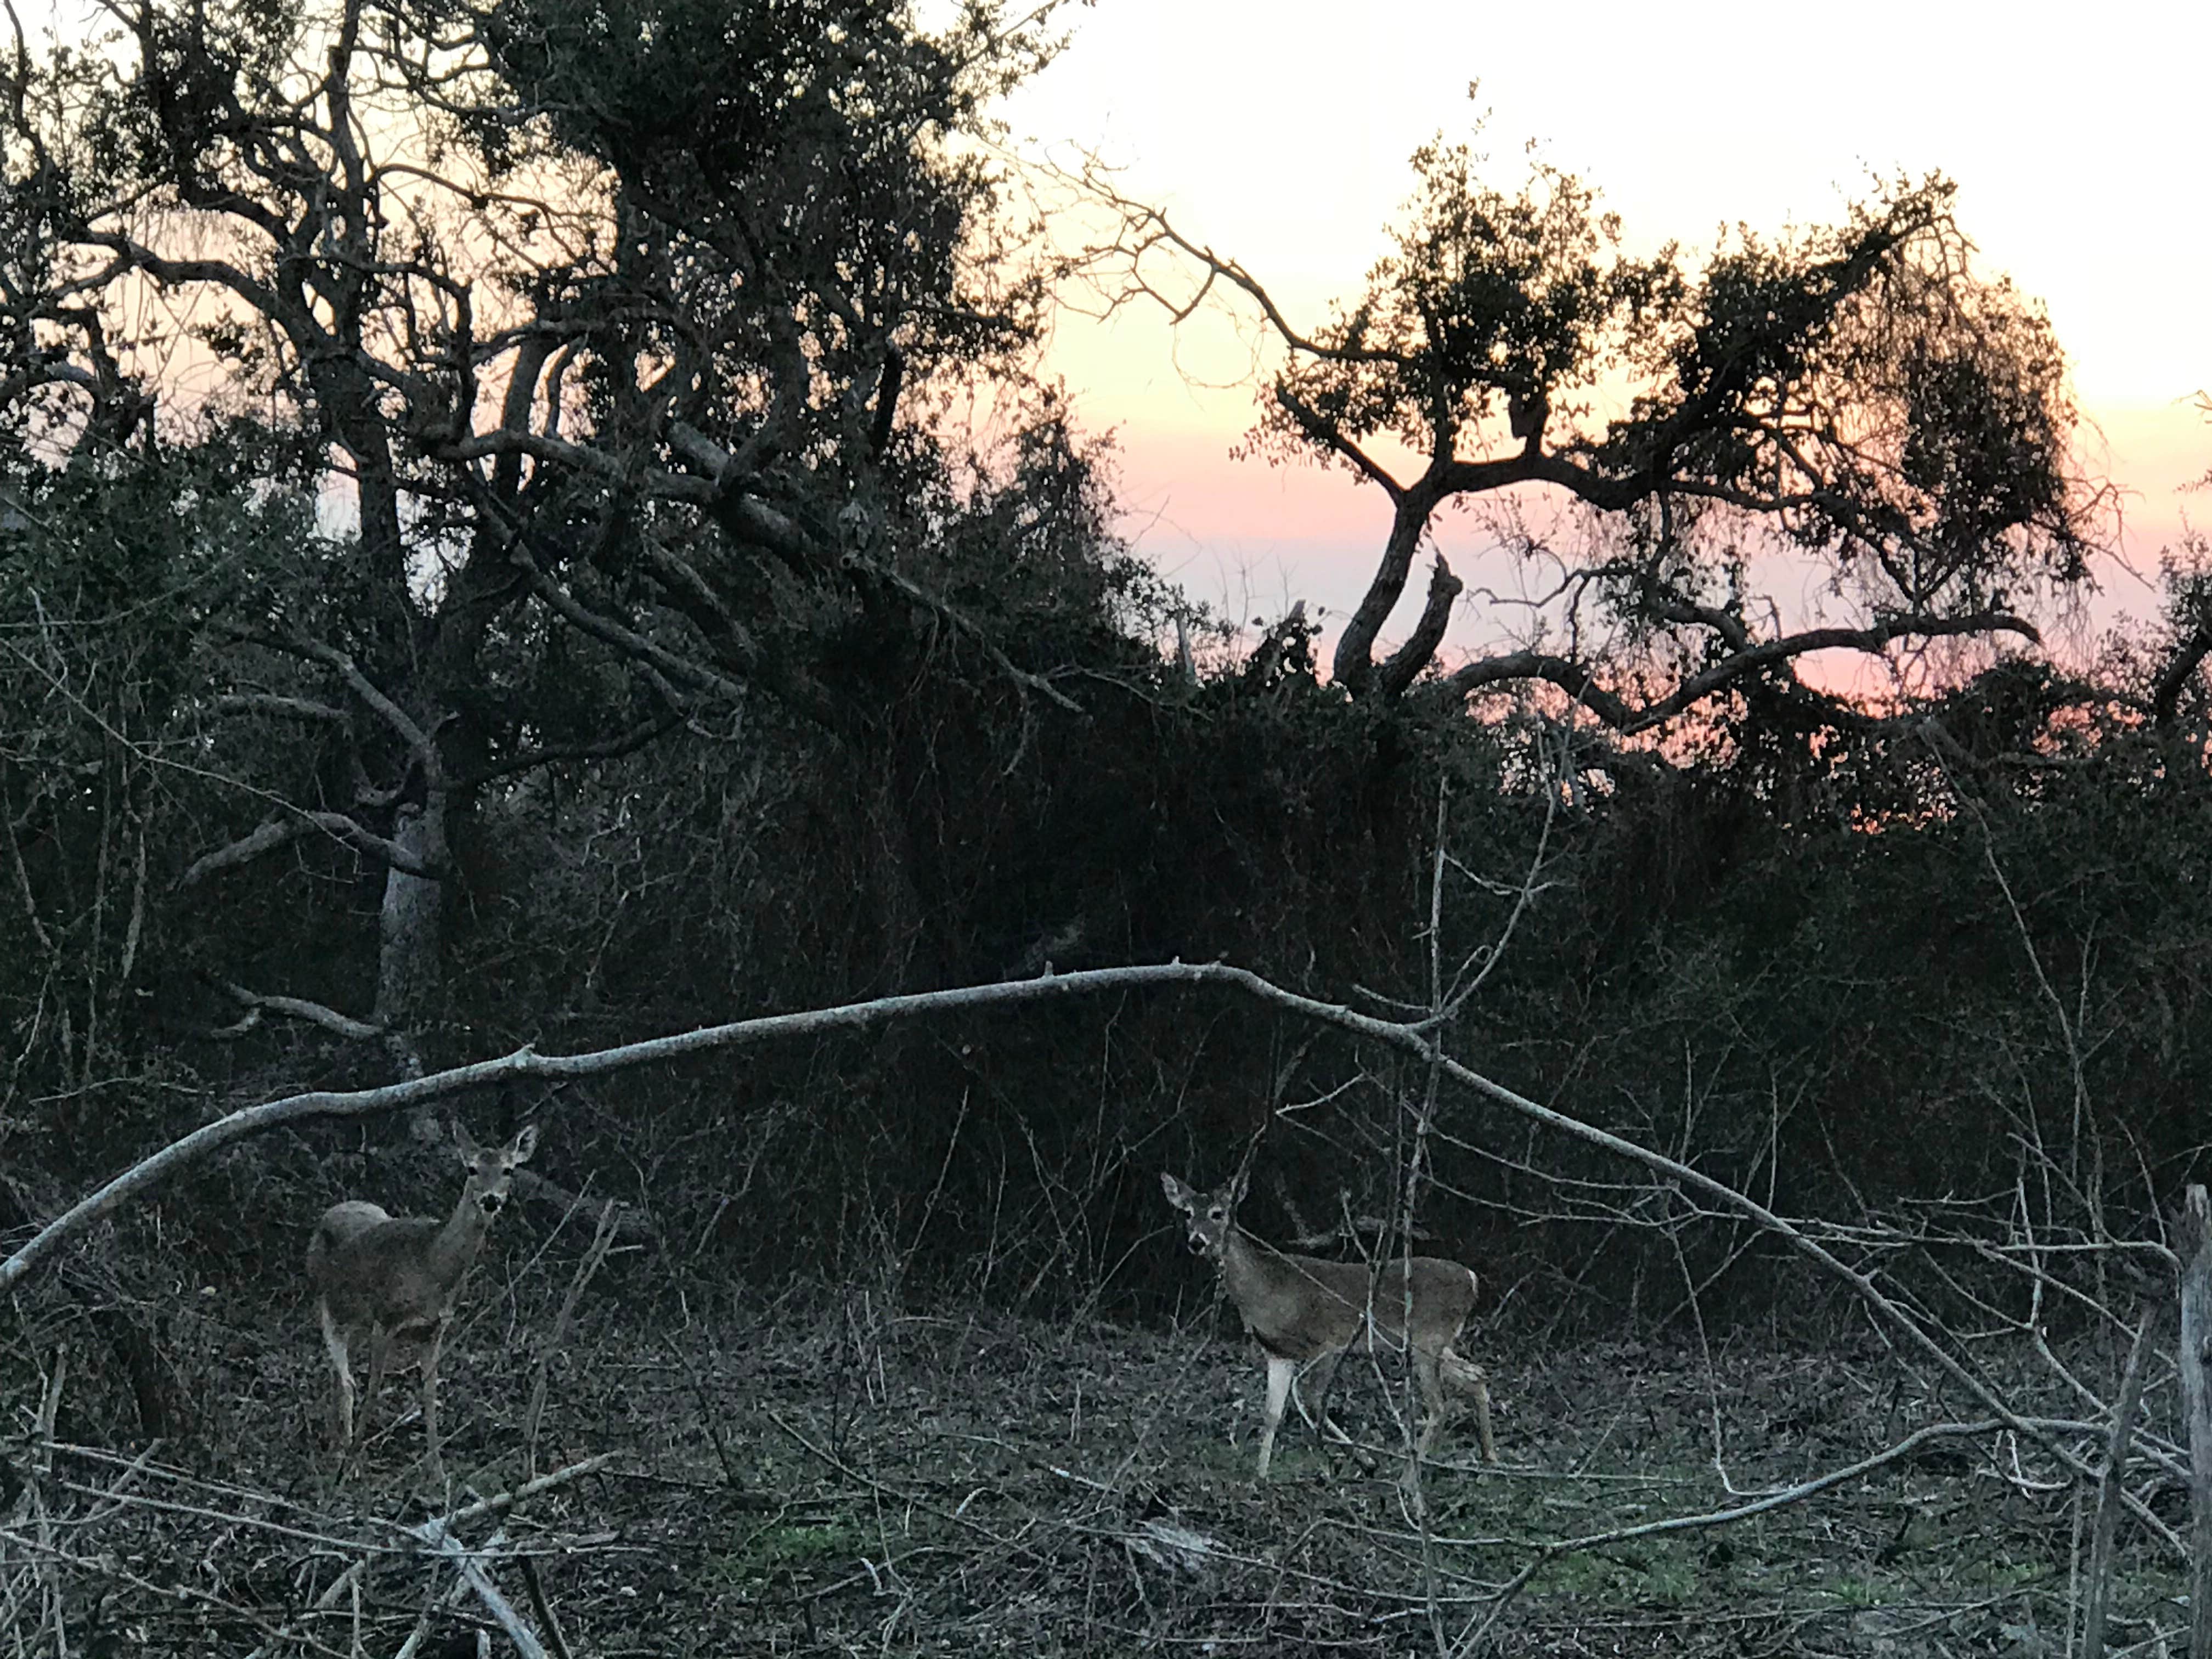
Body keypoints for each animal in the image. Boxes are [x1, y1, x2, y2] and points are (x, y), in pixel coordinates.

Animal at [305, 1124, 537, 1477]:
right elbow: (374, 1390)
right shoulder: (386, 1320)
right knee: (345, 1378)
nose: (491, 1200)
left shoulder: (435, 1329)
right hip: (325, 1300)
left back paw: (336, 1443)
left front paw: (438, 1473)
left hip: (355, 1320)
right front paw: (355, 1460)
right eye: (471, 1169)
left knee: (339, 1374)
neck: (431, 1267)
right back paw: (342, 1452)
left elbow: (430, 1395)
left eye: (508, 1170)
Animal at [1167, 1167, 1495, 1477]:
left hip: (1427, 1338)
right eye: (1187, 1213)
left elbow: (1313, 1400)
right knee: (1476, 1375)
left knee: (1440, 1404)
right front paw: (1259, 1475)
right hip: (1435, 1343)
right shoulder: (1277, 1352)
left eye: (1218, 1213)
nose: (1196, 1242)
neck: (1267, 1289)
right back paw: (1490, 1457)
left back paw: (1409, 1478)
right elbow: (1271, 1414)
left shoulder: (1326, 1342)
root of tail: (1472, 1279)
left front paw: (1366, 1460)